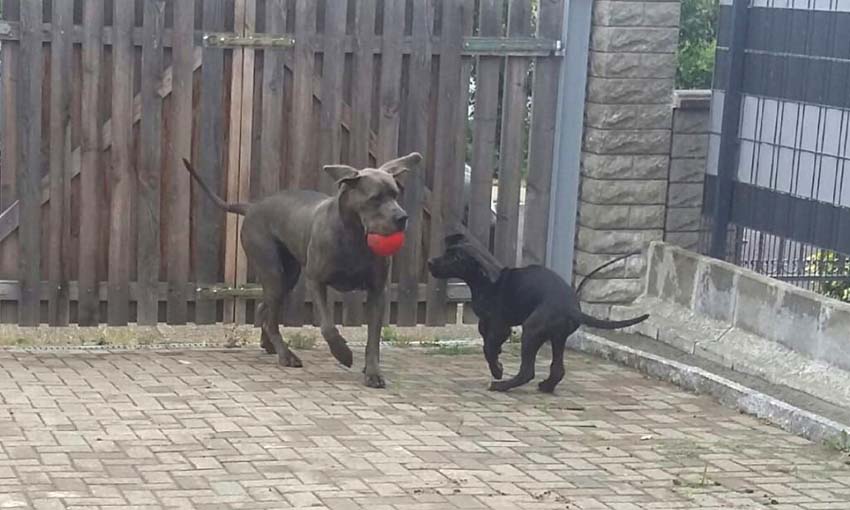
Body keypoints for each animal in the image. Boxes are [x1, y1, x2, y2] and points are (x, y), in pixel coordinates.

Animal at [183, 153, 421, 388]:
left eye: (395, 195)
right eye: (375, 198)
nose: (402, 218)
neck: (354, 236)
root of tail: (252, 207)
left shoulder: (377, 291)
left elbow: (373, 337)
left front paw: (372, 372)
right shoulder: (315, 280)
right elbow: (327, 327)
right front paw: (343, 353)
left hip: (287, 277)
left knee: (264, 309)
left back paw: (269, 344)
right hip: (272, 270)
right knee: (271, 315)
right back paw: (286, 355)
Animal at [427, 233, 649, 393]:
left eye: (455, 258)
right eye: (447, 251)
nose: (430, 262)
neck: (485, 280)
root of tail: (572, 309)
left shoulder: (500, 326)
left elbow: (488, 347)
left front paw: (497, 370)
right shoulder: (487, 323)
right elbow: (487, 342)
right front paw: (498, 362)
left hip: (532, 330)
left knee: (527, 371)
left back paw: (501, 385)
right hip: (558, 337)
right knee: (558, 369)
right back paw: (546, 386)